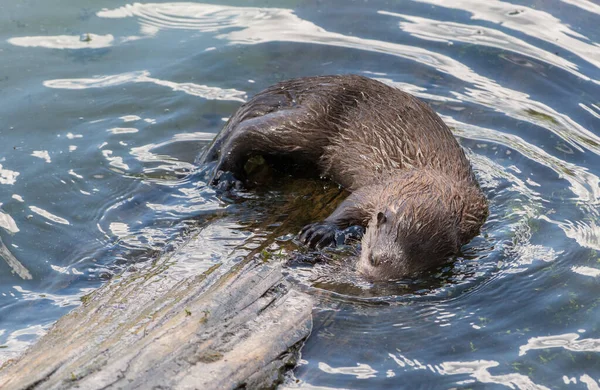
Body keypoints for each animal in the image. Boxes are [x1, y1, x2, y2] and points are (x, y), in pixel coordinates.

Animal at [200, 74, 488, 280]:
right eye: (373, 257)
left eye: (409, 275)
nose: (367, 279)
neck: (432, 184)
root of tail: (317, 82)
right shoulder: (381, 188)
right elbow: (352, 204)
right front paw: (320, 231)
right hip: (310, 122)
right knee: (246, 131)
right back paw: (227, 177)